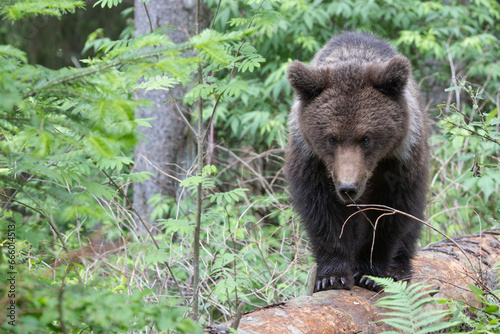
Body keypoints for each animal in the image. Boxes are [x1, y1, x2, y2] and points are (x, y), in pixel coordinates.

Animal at [288, 32, 428, 292]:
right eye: (332, 138)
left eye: (366, 138)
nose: (348, 188)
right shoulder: (312, 159)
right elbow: (321, 211)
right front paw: (332, 276)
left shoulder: (399, 160)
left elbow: (389, 213)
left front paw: (369, 273)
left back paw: (399, 268)